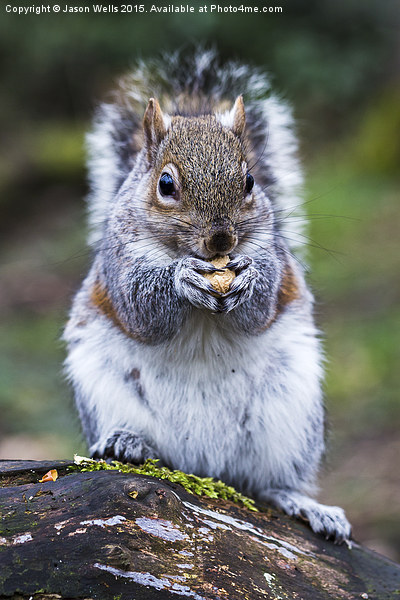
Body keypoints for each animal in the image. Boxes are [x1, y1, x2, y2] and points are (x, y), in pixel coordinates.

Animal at [62, 49, 350, 540]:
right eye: (166, 185)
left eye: (250, 181)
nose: (221, 240)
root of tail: (205, 465)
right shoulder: (119, 264)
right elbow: (141, 310)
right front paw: (182, 280)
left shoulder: (272, 256)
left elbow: (261, 307)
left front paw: (249, 280)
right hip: (102, 386)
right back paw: (126, 441)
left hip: (290, 416)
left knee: (268, 483)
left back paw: (305, 505)